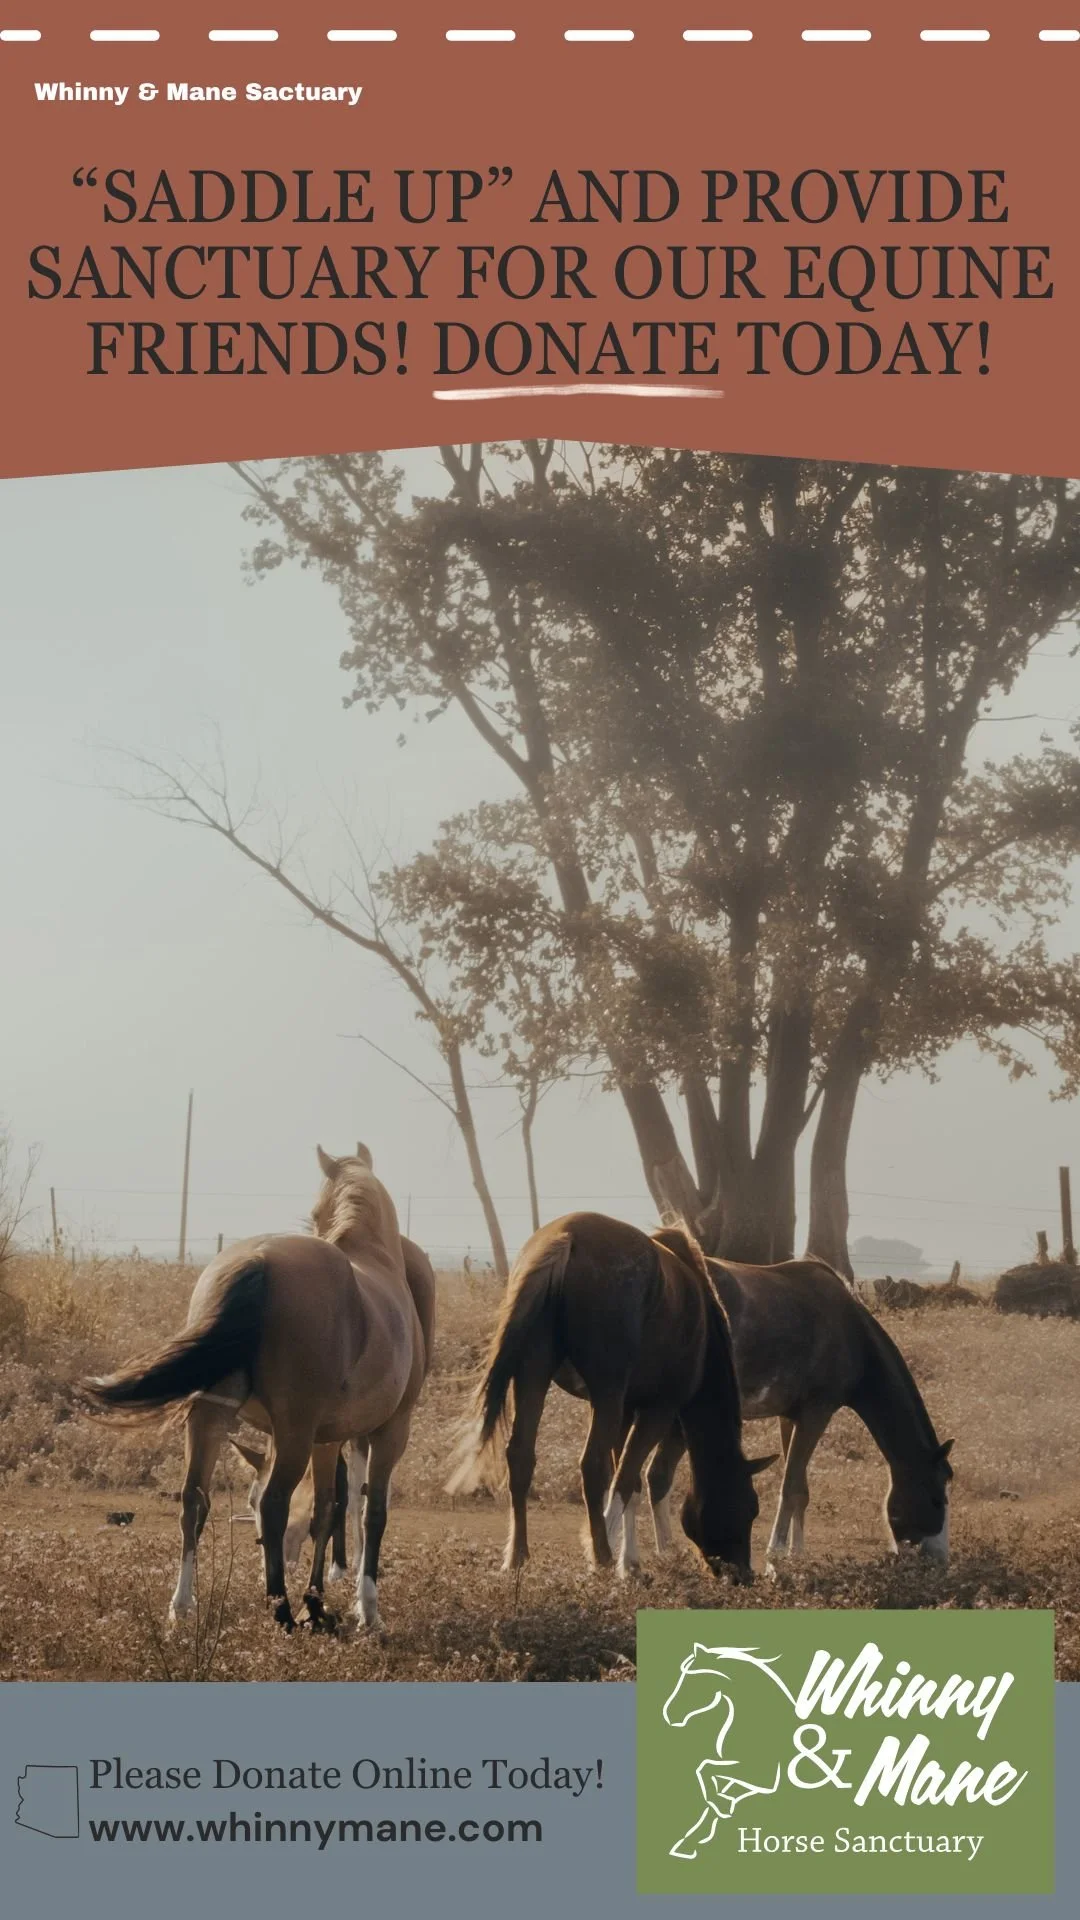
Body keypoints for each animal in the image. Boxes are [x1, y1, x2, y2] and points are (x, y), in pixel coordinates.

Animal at [85, 1146, 430, 1632]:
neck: (375, 1256)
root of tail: (260, 1260)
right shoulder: (391, 1430)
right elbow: (371, 1512)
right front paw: (366, 1609)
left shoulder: (327, 1439)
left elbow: (326, 1509)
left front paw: (317, 1603)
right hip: (293, 1434)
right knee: (273, 1503)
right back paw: (280, 1610)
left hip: (212, 1419)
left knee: (194, 1500)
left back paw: (183, 1606)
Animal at [449, 1213, 776, 1579]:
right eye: (749, 1507)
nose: (743, 1575)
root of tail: (567, 1238)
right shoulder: (656, 1408)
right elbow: (626, 1476)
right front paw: (617, 1559)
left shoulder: (626, 1411)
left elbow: (628, 1482)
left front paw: (628, 1558)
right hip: (606, 1393)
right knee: (592, 1465)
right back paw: (602, 1555)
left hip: (533, 1374)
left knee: (521, 1456)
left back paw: (517, 1556)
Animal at [636, 1256, 954, 1568]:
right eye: (936, 1499)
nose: (940, 1558)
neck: (851, 1331)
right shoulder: (817, 1412)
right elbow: (789, 1487)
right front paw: (774, 1559)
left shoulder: (790, 1416)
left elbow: (800, 1489)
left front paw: (795, 1554)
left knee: (657, 1476)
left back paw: (665, 1554)